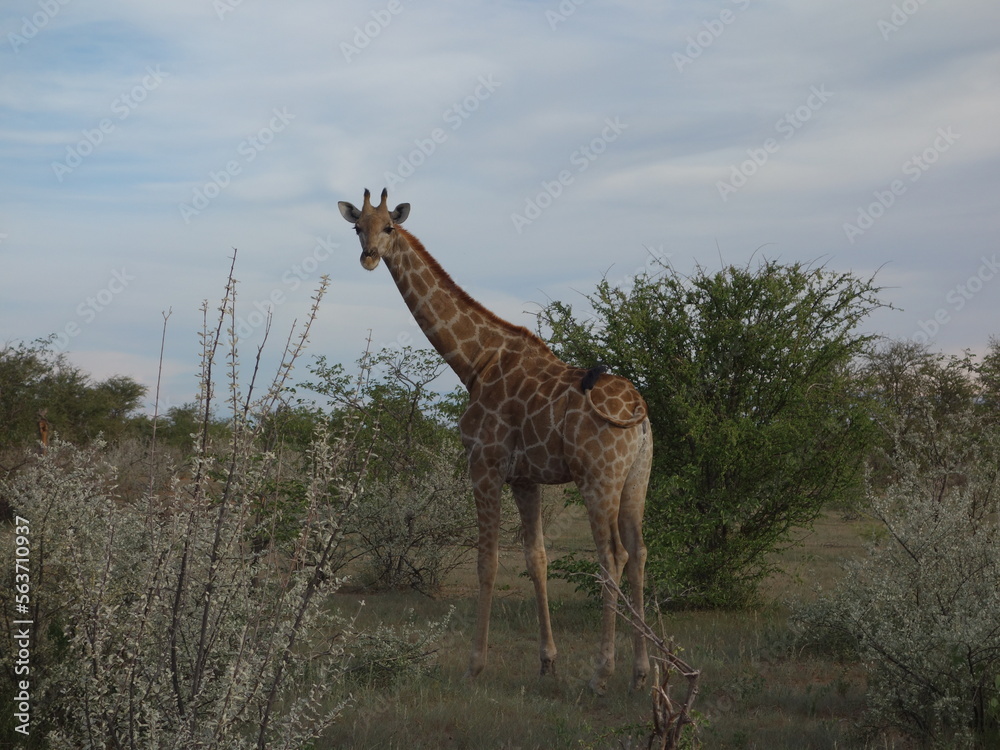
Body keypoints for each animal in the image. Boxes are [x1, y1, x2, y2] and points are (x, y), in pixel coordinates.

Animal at [338, 188, 652, 692]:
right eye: (356, 227)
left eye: (389, 226)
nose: (368, 257)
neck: (474, 362)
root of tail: (639, 412)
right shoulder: (526, 478)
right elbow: (536, 559)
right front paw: (547, 662)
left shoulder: (483, 464)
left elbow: (487, 562)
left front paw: (474, 664)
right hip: (637, 477)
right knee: (639, 552)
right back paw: (643, 672)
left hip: (598, 478)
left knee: (612, 555)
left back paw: (602, 672)